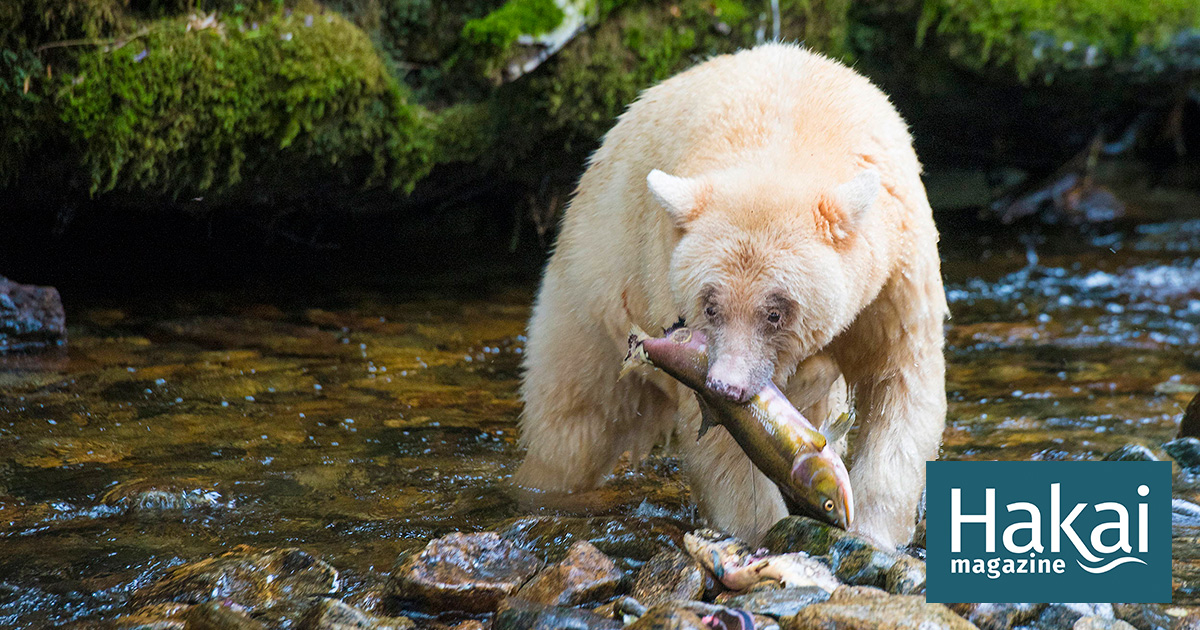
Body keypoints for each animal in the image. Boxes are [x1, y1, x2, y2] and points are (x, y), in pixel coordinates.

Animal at [514, 43, 947, 549]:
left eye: (776, 312)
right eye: (710, 305)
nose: (728, 386)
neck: (793, 133)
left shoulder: (894, 278)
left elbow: (900, 384)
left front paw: (871, 533)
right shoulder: (670, 287)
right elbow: (726, 447)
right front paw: (760, 534)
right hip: (593, 285)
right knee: (573, 424)